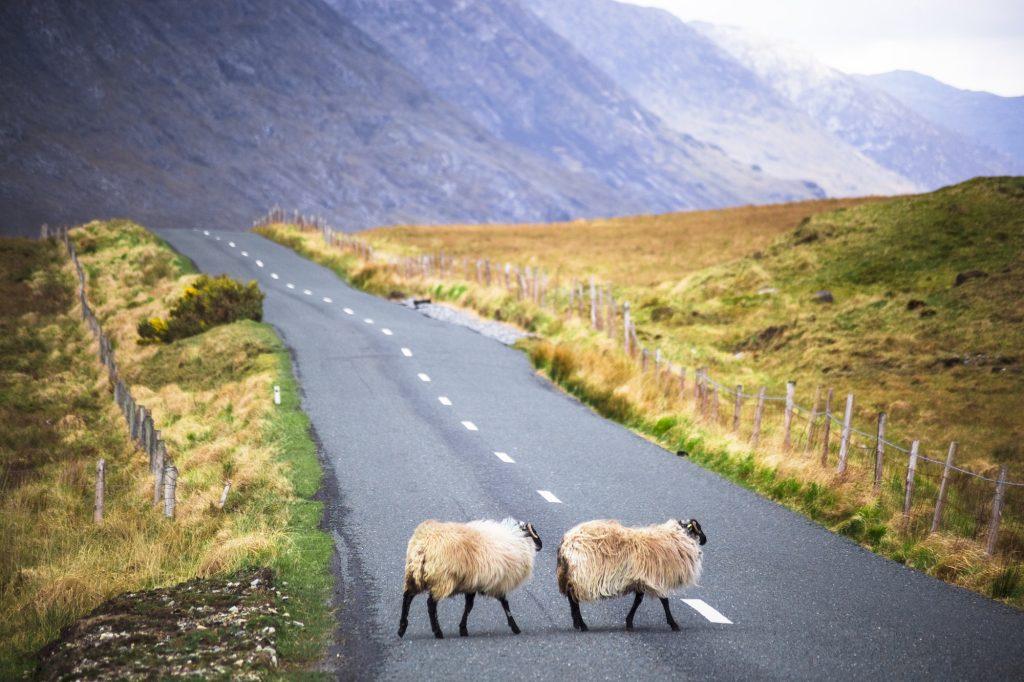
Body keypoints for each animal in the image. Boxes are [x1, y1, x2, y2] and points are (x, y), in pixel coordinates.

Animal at [397, 516, 544, 638]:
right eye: (534, 532)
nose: (541, 545)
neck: (516, 538)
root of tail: (422, 546)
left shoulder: (473, 582)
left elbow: (469, 606)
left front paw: (463, 629)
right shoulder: (496, 582)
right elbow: (504, 603)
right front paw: (515, 627)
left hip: (414, 575)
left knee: (407, 597)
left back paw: (402, 628)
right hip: (441, 579)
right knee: (431, 604)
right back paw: (437, 632)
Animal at [557, 518, 708, 630]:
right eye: (699, 528)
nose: (705, 539)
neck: (676, 537)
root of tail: (566, 543)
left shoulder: (641, 580)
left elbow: (638, 601)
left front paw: (629, 622)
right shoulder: (657, 579)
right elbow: (664, 601)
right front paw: (673, 624)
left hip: (571, 575)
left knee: (571, 598)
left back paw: (577, 623)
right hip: (581, 575)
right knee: (574, 598)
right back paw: (582, 625)